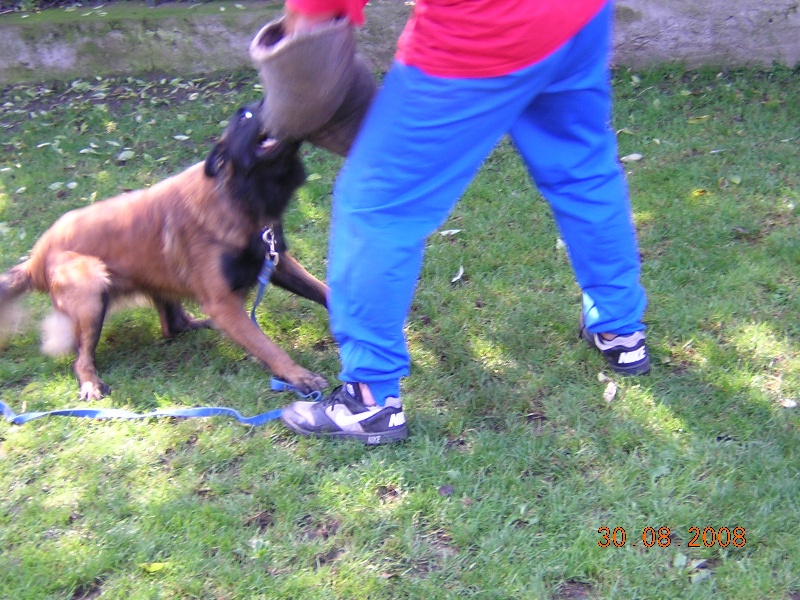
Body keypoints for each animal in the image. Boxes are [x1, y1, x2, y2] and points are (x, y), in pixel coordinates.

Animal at [0, 101, 328, 400]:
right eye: (246, 115)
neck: (237, 195)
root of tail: (34, 260)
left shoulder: (277, 262)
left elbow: (322, 291)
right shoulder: (223, 301)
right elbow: (268, 346)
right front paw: (298, 375)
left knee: (173, 326)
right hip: (92, 288)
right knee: (82, 360)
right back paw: (91, 384)